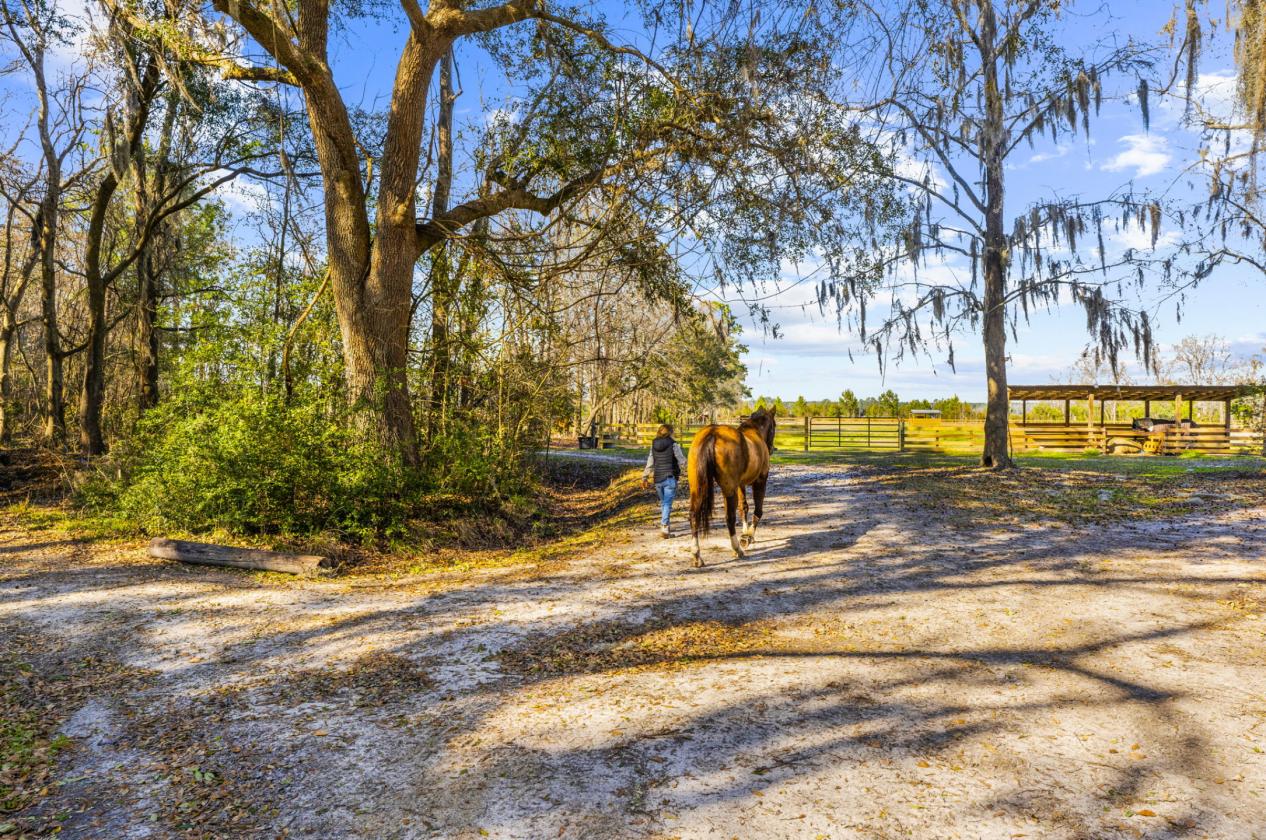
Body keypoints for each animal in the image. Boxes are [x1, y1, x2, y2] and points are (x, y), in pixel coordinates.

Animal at [687, 407, 776, 567]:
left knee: (693, 515)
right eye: (774, 425)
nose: (772, 448)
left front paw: (746, 533)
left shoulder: (740, 484)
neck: (755, 432)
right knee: (729, 518)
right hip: (729, 490)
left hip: (698, 488)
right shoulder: (760, 481)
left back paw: (696, 555)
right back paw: (737, 549)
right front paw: (748, 537)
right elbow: (757, 511)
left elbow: (744, 507)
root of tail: (712, 434)